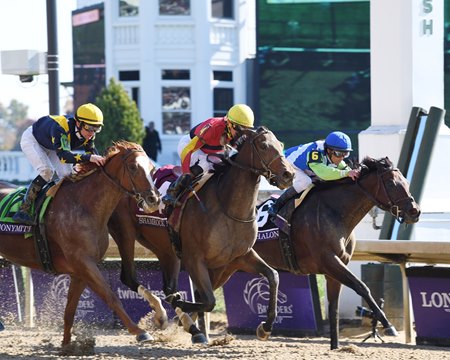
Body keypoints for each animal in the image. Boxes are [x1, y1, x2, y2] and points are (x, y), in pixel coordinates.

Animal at [0, 142, 163, 348]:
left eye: (152, 168)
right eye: (133, 167)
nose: (154, 200)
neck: (84, 205)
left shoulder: (80, 271)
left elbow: (70, 311)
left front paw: (67, 344)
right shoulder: (84, 263)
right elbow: (111, 296)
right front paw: (140, 331)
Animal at [109, 126, 296, 344]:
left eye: (280, 144)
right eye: (264, 146)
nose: (288, 174)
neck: (227, 207)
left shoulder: (240, 256)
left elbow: (273, 276)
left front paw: (265, 327)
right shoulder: (194, 259)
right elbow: (207, 300)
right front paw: (181, 312)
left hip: (167, 250)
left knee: (168, 286)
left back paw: (188, 325)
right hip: (125, 234)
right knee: (130, 277)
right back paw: (164, 317)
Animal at [253, 155, 422, 348]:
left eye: (407, 182)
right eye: (392, 184)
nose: (415, 211)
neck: (335, 212)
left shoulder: (334, 268)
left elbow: (334, 307)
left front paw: (335, 346)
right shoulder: (329, 261)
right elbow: (362, 287)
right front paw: (388, 325)